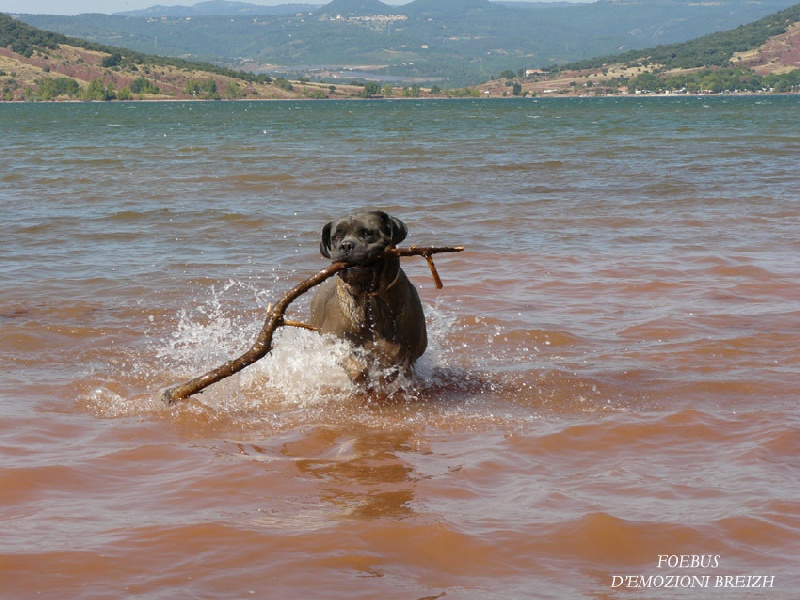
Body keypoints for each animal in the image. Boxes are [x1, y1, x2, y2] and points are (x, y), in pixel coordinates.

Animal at [310, 209, 428, 382]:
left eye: (366, 233)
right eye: (336, 237)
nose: (346, 245)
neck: (370, 295)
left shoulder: (411, 350)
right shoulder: (332, 339)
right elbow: (356, 367)